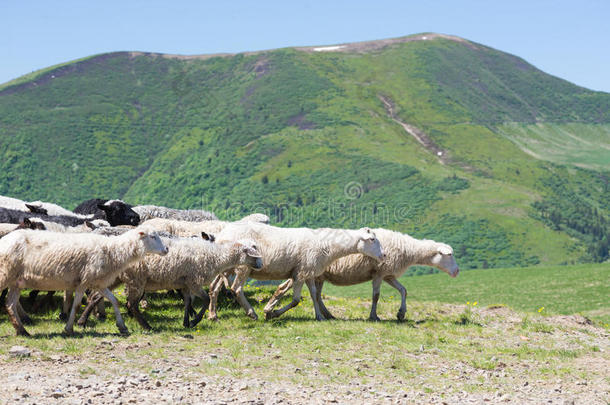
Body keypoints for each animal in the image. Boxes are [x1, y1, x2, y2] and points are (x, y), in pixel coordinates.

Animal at [0, 227, 166, 334]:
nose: (166, 250)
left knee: (10, 304)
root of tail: (4, 239)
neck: (112, 251)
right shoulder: (84, 281)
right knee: (9, 302)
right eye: (152, 236)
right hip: (5, 274)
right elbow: (77, 305)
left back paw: (22, 331)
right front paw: (69, 328)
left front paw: (122, 326)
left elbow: (114, 301)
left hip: (16, 281)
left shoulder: (98, 282)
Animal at [211, 223, 382, 320]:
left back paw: (213, 315)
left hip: (226, 266)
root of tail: (221, 234)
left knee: (214, 287)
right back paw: (252, 313)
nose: (384, 255)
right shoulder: (300, 273)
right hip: (243, 266)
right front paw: (272, 313)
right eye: (372, 239)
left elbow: (314, 294)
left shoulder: (309, 270)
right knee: (236, 288)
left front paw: (319, 316)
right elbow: (295, 300)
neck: (327, 245)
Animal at [314, 229, 456, 320]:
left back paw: (328, 315)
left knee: (318, 295)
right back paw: (325, 315)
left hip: (320, 276)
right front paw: (373, 316)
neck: (408, 249)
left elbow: (403, 290)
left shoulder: (388, 275)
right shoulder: (379, 272)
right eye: (449, 254)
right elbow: (376, 296)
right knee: (316, 295)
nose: (457, 271)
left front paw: (401, 313)